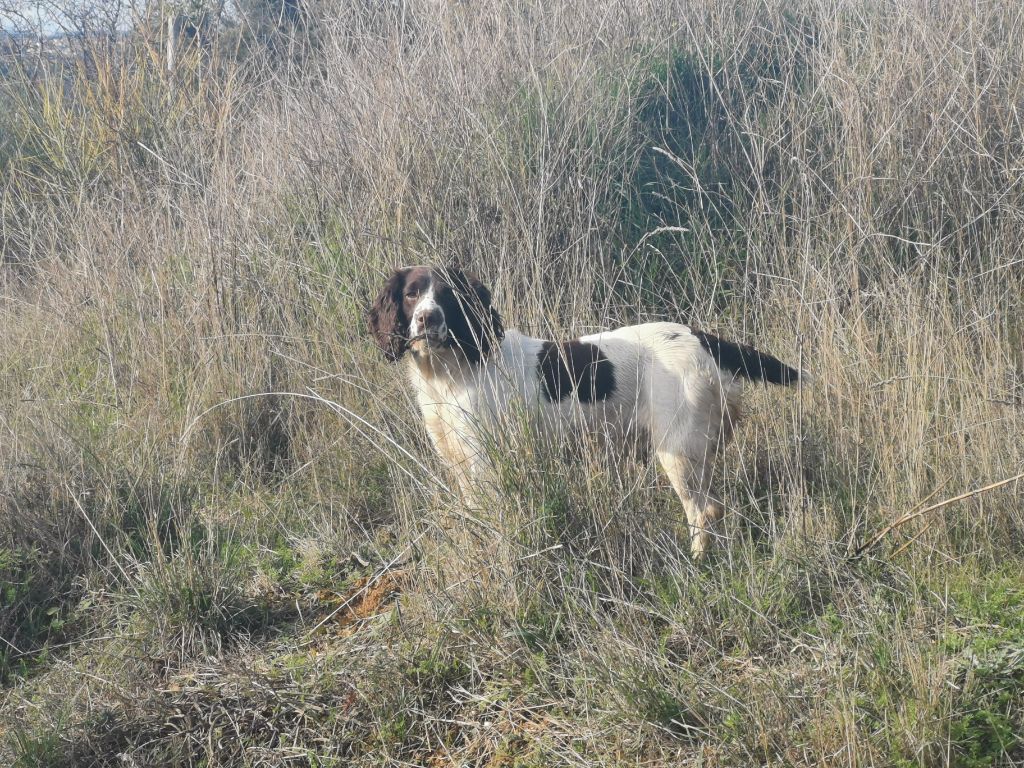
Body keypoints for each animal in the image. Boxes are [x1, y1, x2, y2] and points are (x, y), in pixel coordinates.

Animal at [368, 266, 798, 561]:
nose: (428, 318)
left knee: (705, 510)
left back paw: (697, 561)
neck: (451, 372)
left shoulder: (484, 461)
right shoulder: (458, 461)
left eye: (448, 295)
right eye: (411, 295)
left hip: (679, 452)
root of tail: (703, 339)